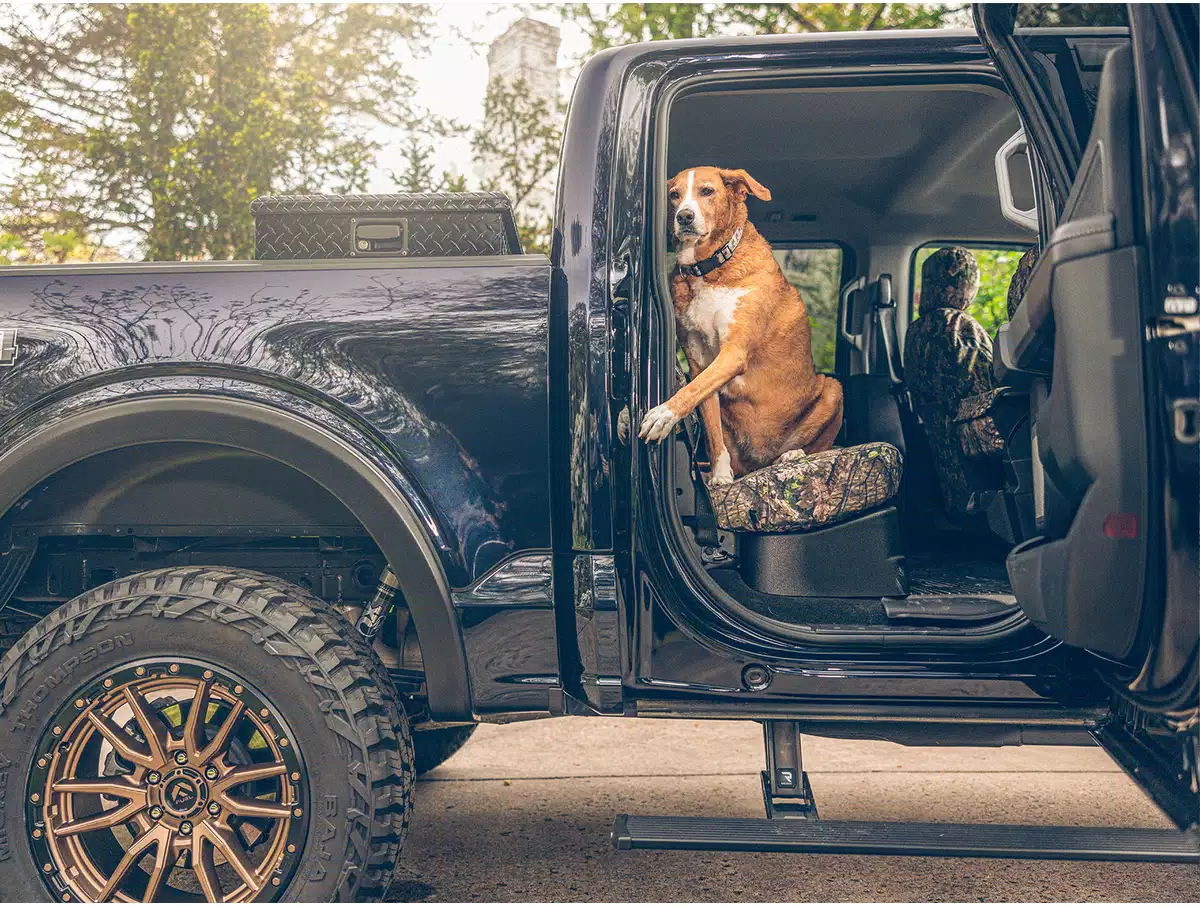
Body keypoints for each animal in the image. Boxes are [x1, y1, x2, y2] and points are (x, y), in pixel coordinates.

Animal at [638, 165, 844, 484]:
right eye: (673, 195)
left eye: (707, 191)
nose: (684, 216)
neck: (709, 270)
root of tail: (759, 462)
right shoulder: (700, 364)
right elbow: (708, 418)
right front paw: (721, 476)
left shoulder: (733, 352)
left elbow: (690, 391)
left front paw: (663, 415)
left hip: (833, 389)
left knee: (819, 445)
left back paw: (793, 455)